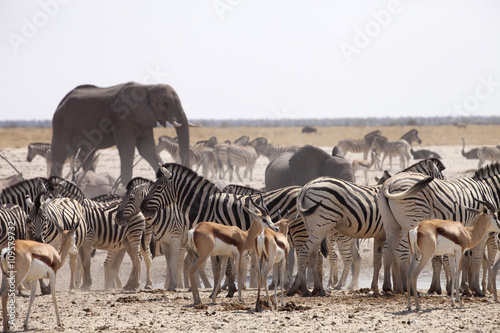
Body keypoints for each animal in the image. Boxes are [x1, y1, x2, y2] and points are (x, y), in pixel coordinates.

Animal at [49, 80, 189, 184]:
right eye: (165, 103)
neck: (147, 87)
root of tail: (61, 102)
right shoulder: (122, 118)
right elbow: (127, 148)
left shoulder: (145, 117)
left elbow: (147, 149)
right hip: (61, 124)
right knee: (59, 154)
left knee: (86, 154)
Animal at [141, 162, 304, 296]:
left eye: (158, 187)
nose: (142, 208)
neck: (207, 206)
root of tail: (301, 188)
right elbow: (218, 267)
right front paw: (221, 289)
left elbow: (223, 267)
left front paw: (228, 289)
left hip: (299, 230)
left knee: (303, 255)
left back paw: (298, 288)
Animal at [288, 158, 448, 296]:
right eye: (441, 178)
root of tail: (305, 188)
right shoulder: (397, 232)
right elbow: (397, 258)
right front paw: (397, 287)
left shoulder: (382, 234)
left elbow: (380, 260)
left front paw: (380, 288)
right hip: (322, 226)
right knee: (305, 252)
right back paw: (306, 289)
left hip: (315, 229)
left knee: (313, 255)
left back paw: (318, 289)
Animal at [378, 162, 500, 294]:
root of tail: (389, 183)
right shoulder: (485, 231)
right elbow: (477, 259)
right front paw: (475, 289)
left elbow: (457, 259)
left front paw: (459, 287)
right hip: (411, 222)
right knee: (402, 252)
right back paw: (407, 287)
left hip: (392, 226)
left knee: (388, 251)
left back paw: (387, 287)